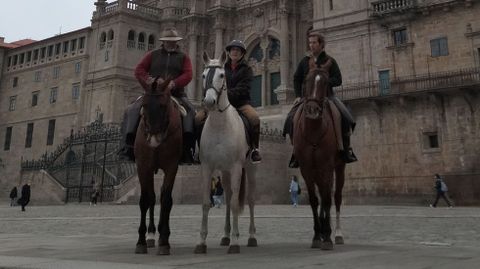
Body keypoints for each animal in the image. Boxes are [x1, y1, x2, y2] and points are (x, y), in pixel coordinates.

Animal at [134, 77, 183, 253]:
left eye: (163, 105)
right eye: (144, 104)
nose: (153, 139)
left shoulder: (172, 166)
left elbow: (166, 199)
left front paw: (164, 239)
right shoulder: (142, 166)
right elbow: (145, 200)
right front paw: (141, 240)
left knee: (161, 196)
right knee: (152, 197)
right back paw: (150, 235)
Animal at [193, 50, 256, 253]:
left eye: (222, 75)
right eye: (203, 75)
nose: (209, 101)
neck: (220, 126)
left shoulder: (236, 167)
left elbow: (236, 204)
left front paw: (236, 242)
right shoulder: (207, 167)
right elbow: (206, 203)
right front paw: (201, 241)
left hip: (250, 168)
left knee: (250, 199)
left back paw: (251, 236)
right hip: (225, 171)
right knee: (227, 197)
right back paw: (226, 235)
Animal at [292, 57, 344, 249]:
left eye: (326, 82)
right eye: (306, 79)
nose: (312, 111)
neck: (314, 129)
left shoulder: (327, 167)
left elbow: (328, 199)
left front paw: (327, 236)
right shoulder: (306, 168)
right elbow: (315, 200)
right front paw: (317, 235)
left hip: (338, 167)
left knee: (336, 196)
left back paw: (337, 234)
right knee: (323, 194)